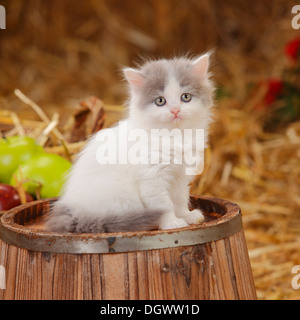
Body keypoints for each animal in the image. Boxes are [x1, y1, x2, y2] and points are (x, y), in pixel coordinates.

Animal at [47, 53, 214, 234]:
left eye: (186, 97)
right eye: (160, 101)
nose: (175, 110)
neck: (174, 137)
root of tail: (71, 209)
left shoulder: (181, 176)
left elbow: (180, 199)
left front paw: (187, 216)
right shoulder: (152, 179)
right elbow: (165, 205)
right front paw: (172, 223)